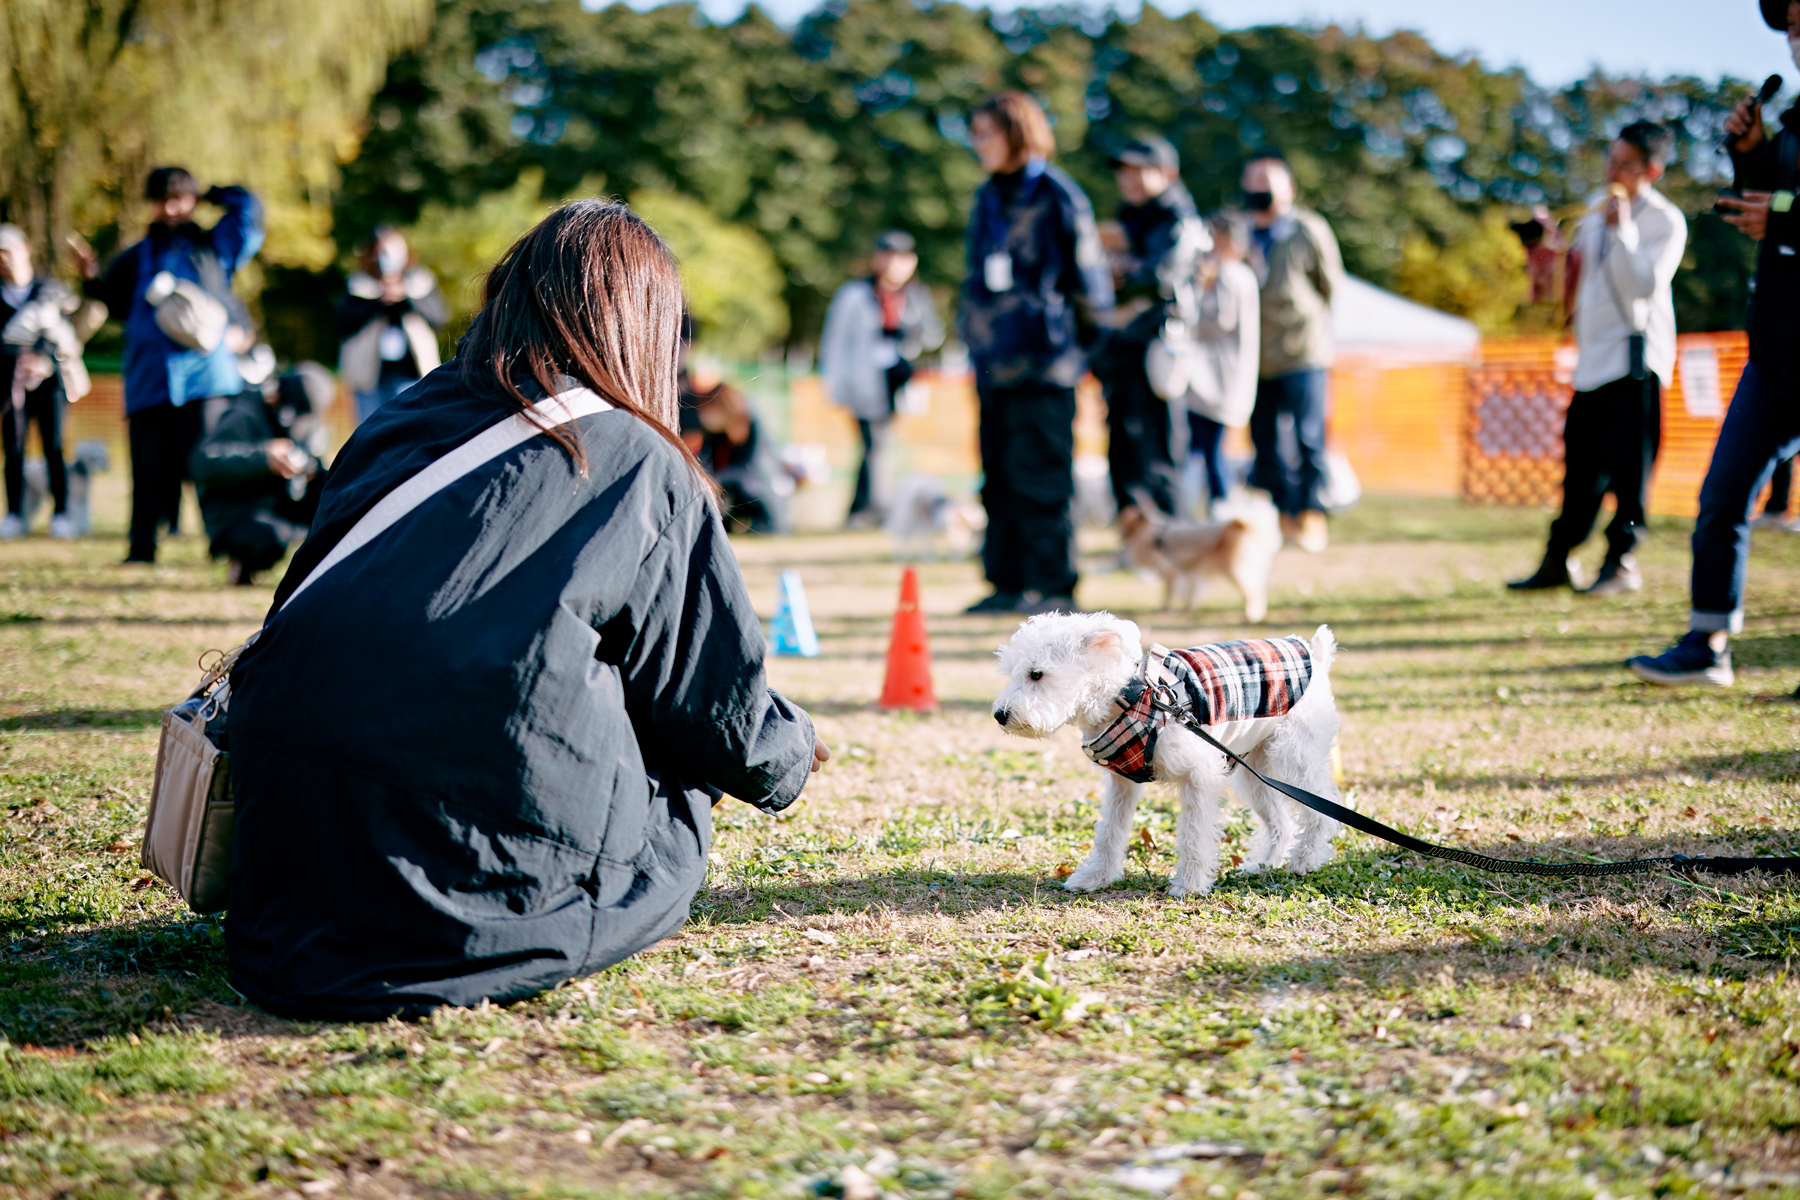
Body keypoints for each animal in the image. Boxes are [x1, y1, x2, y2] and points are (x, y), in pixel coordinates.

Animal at [993, 615, 1346, 895]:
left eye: (1036, 674)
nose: (999, 715)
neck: (1129, 698)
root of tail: (1312, 652)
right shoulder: (1122, 784)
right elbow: (1109, 833)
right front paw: (1096, 878)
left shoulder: (1199, 777)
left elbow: (1194, 835)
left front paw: (1189, 885)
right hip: (1255, 772)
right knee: (1281, 822)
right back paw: (1264, 864)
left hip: (1295, 757)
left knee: (1323, 809)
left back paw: (1305, 859)